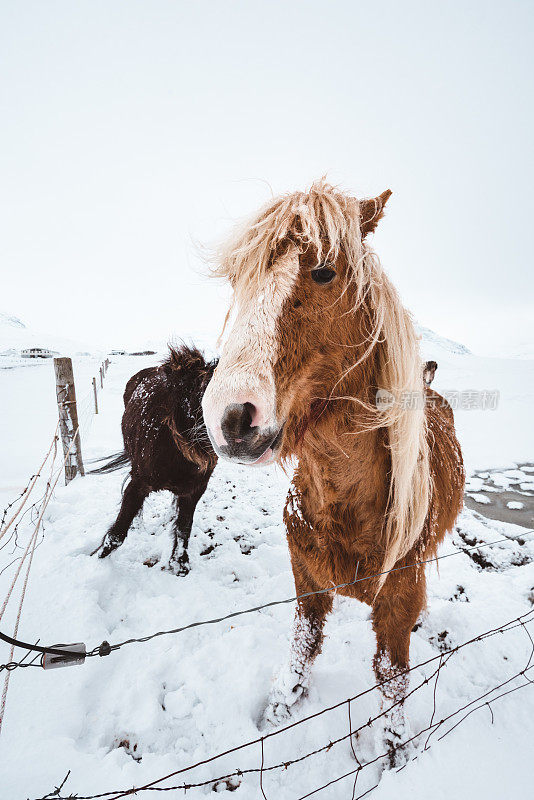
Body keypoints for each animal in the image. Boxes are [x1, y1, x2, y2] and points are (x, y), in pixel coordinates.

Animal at [93, 344, 218, 576]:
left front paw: (180, 563)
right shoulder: (139, 483)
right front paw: (96, 561)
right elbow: (117, 533)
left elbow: (183, 528)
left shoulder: (195, 490)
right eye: (192, 393)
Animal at [203, 181, 466, 764]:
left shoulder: (396, 598)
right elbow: (303, 645)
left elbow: (392, 675)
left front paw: (393, 752)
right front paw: (280, 708)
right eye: (237, 279)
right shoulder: (306, 581)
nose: (229, 417)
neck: (347, 507)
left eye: (324, 272)